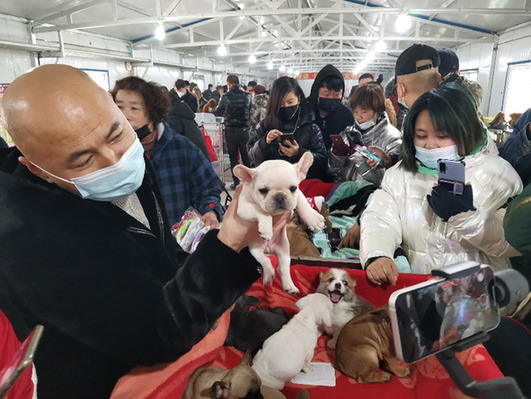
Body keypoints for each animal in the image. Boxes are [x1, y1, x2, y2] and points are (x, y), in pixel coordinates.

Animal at [235, 152, 326, 294]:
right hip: (255, 250)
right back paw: (268, 275)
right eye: (263, 190)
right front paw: (266, 229)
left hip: (284, 250)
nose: (279, 196)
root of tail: (269, 249)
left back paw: (290, 286)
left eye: (293, 188)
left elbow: (302, 201)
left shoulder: (297, 195)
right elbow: (261, 211)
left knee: (282, 268)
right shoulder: (243, 207)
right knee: (266, 261)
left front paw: (313, 218)